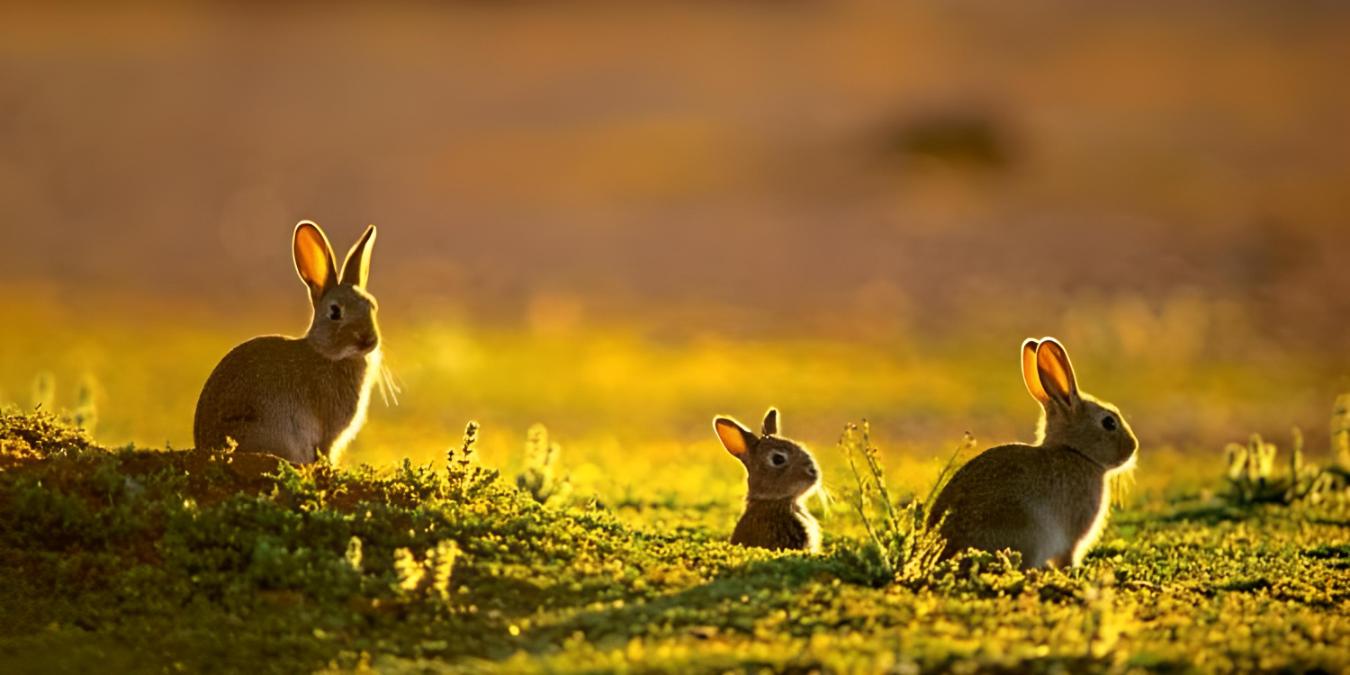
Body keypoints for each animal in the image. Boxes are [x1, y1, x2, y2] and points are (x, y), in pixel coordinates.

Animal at [190, 221, 383, 464]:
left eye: (372, 306)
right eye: (335, 311)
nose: (368, 340)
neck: (326, 353)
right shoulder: (328, 433)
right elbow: (325, 450)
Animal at [923, 337, 1134, 569]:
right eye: (1109, 423)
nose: (1133, 447)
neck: (1076, 452)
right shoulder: (1072, 536)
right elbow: (1067, 557)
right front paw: (1073, 571)